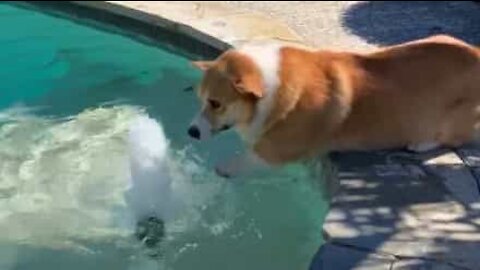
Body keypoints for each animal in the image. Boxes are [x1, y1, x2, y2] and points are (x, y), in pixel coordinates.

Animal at [188, 35, 480, 178]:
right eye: (201, 99)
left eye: (215, 103)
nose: (191, 132)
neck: (273, 88)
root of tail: (475, 53)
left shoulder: (277, 150)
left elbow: (245, 158)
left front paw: (224, 169)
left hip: (449, 119)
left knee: (458, 137)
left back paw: (422, 143)